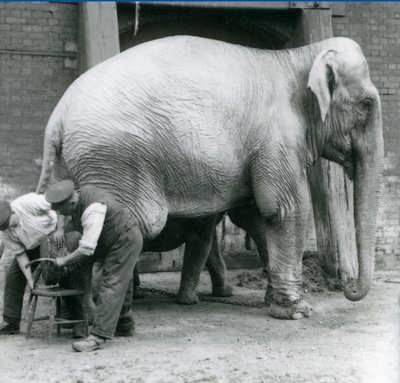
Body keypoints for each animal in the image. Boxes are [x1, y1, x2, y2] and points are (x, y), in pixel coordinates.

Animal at [36, 36, 382, 320]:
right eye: (366, 104)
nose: (348, 288)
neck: (299, 55)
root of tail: (57, 118)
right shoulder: (277, 138)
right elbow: (285, 210)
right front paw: (297, 312)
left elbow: (256, 215)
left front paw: (274, 303)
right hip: (116, 160)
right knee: (132, 224)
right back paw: (96, 312)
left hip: (72, 166)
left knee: (68, 228)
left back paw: (68, 304)